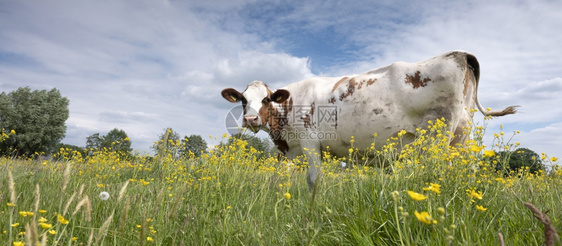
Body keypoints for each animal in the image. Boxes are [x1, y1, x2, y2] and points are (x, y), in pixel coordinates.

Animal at [220, 50, 516, 190]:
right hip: (462, 137)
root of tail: (458, 53)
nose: (250, 118)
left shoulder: (309, 141)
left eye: (266, 99)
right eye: (243, 99)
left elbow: (314, 179)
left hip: (438, 138)